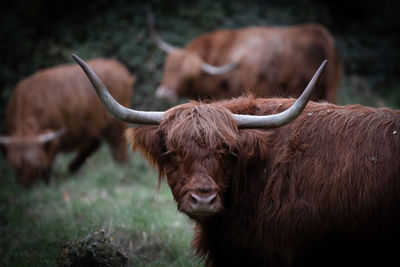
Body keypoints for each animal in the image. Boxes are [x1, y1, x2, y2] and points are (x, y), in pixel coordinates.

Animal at [0, 58, 134, 186]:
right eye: (14, 164)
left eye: (34, 163)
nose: (25, 185)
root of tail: (116, 65)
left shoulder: (54, 139)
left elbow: (48, 161)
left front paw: (47, 180)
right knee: (93, 144)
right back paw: (72, 168)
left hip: (114, 126)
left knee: (118, 148)